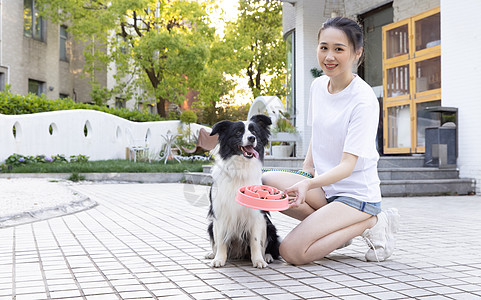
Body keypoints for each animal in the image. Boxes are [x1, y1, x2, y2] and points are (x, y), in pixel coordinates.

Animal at [205, 114, 280, 268]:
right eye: (238, 132)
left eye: (255, 132)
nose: (252, 138)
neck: (240, 170)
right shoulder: (220, 213)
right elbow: (220, 240)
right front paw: (219, 259)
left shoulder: (257, 215)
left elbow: (256, 241)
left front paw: (258, 260)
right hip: (210, 225)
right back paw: (212, 253)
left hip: (270, 226)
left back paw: (267, 256)